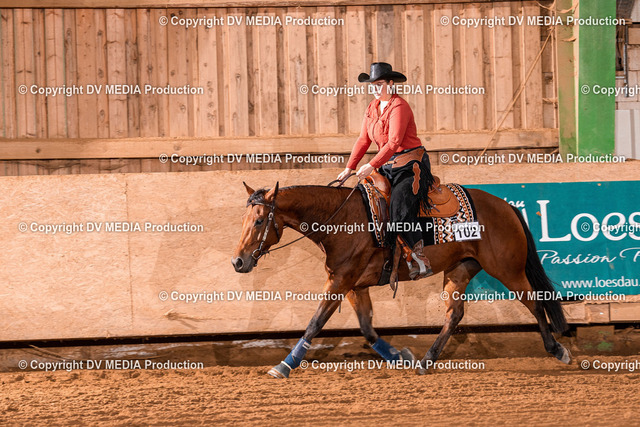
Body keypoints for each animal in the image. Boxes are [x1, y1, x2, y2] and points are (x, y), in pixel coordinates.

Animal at [232, 180, 572, 378]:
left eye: (259, 220)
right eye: (245, 219)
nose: (238, 261)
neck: (343, 220)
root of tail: (507, 206)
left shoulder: (340, 282)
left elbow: (315, 323)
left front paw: (284, 365)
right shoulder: (354, 286)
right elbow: (367, 330)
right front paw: (401, 356)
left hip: (507, 269)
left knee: (535, 303)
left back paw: (557, 350)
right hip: (460, 269)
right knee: (455, 314)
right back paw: (426, 360)